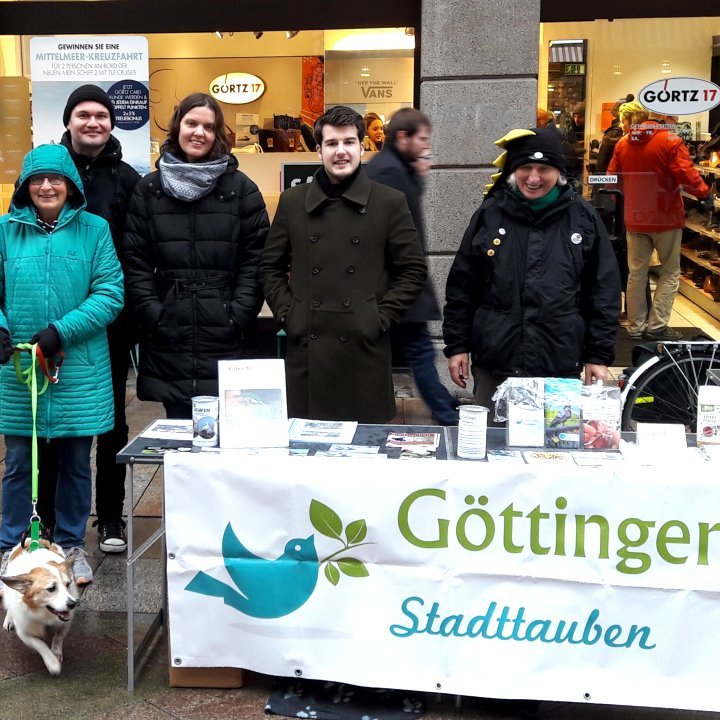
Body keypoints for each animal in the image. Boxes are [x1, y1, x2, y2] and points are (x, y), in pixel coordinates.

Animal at [1, 540, 78, 676]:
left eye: (68, 584)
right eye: (51, 588)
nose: (73, 604)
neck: (43, 613)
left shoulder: (65, 623)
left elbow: (58, 637)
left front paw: (56, 653)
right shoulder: (24, 632)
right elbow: (40, 644)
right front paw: (52, 662)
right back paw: (9, 619)